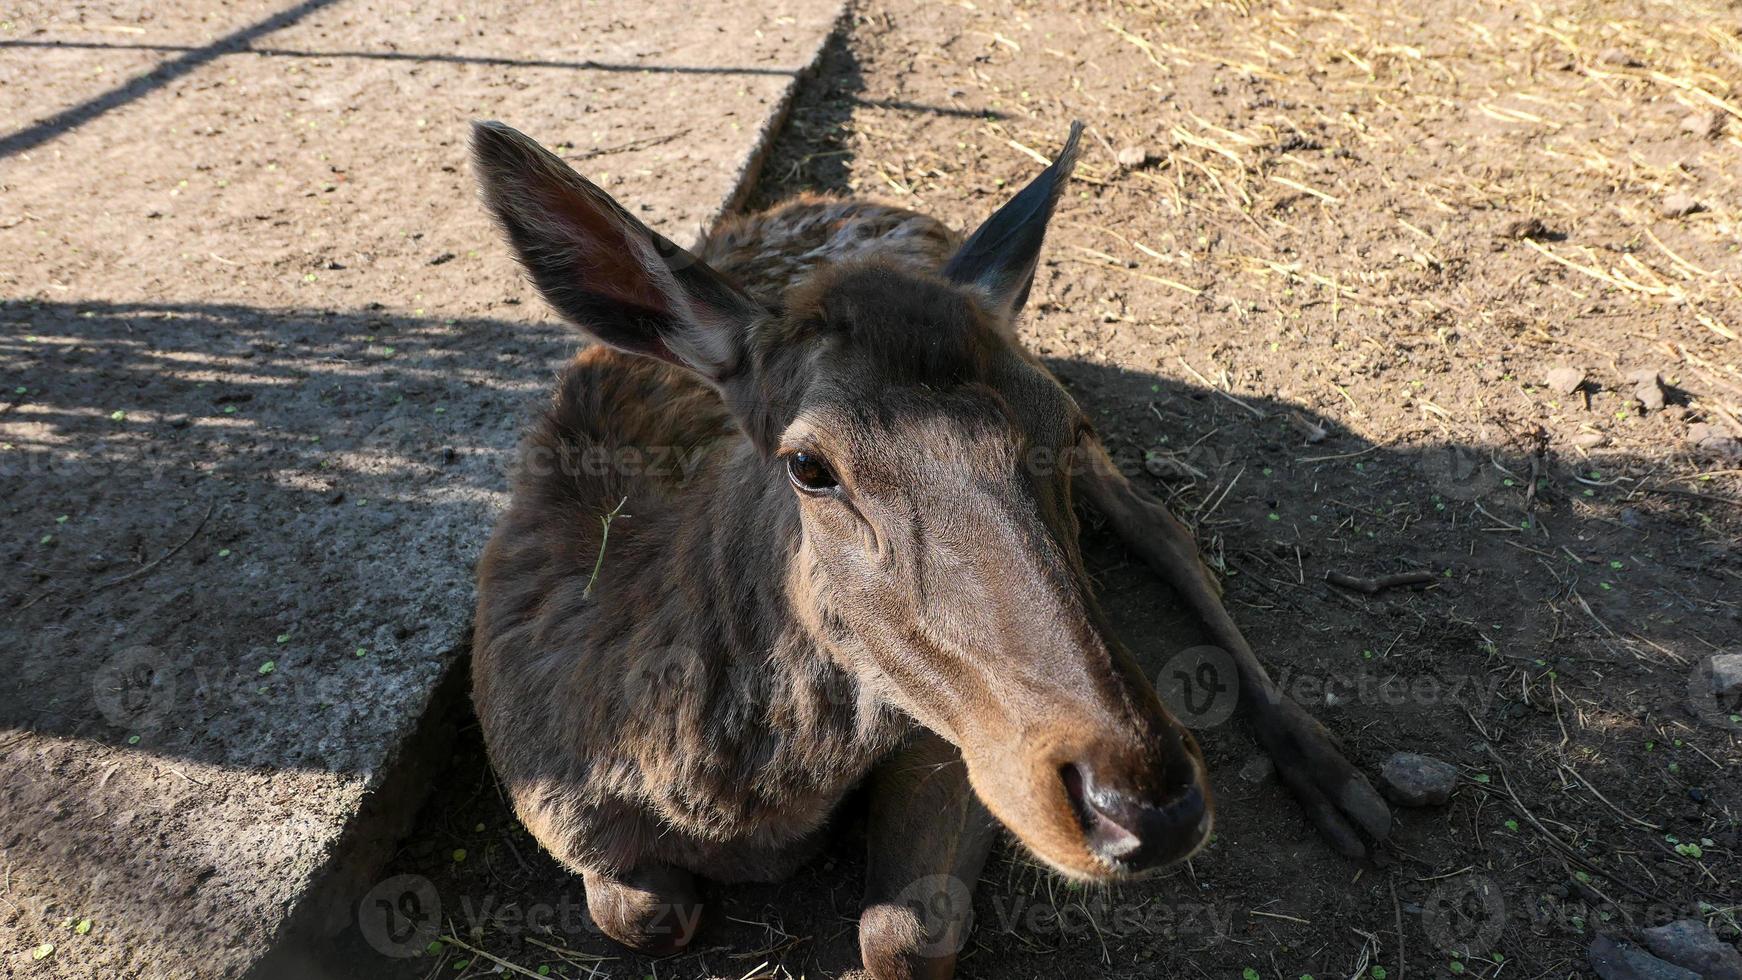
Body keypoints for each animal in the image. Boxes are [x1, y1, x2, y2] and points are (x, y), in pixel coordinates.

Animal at [470, 122, 1393, 980]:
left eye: (1061, 426)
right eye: (809, 466)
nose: (1144, 804)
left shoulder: (952, 737)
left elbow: (901, 936)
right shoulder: (552, 803)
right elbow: (641, 914)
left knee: (1164, 528)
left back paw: (1336, 777)